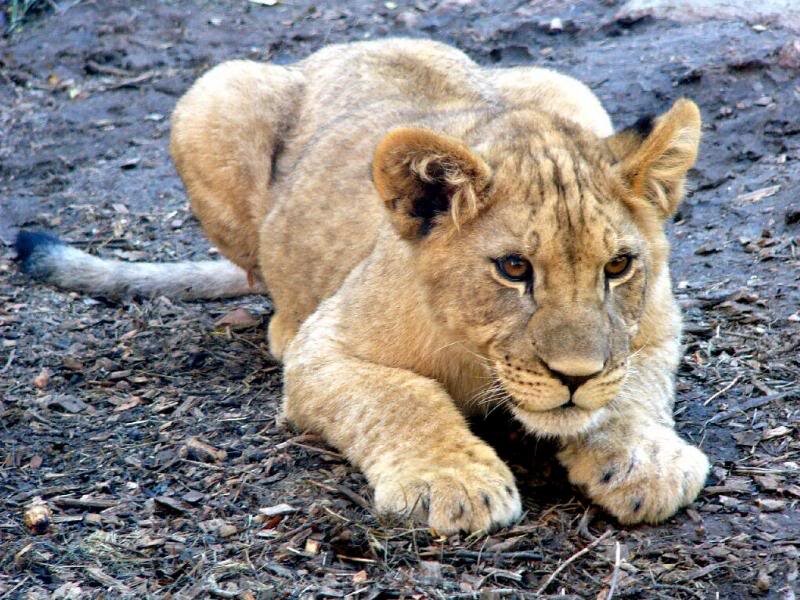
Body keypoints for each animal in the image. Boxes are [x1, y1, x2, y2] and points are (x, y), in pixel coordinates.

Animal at [16, 38, 710, 534]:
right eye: (514, 269)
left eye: (617, 267)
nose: (575, 376)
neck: (477, 357)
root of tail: (356, 43)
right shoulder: (325, 352)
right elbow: (401, 396)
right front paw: (452, 482)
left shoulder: (657, 325)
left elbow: (633, 389)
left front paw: (646, 460)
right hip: (215, 96)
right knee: (260, 276)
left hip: (561, 83)